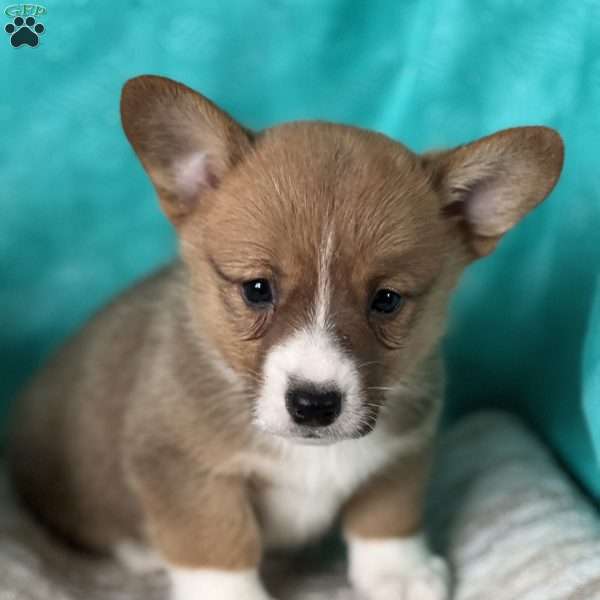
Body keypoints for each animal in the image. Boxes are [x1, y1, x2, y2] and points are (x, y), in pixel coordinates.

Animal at [7, 76, 564, 600]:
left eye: (386, 300)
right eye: (257, 289)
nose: (314, 405)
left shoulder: (404, 450)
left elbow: (388, 514)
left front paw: (398, 574)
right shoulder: (182, 467)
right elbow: (218, 543)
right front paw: (232, 595)